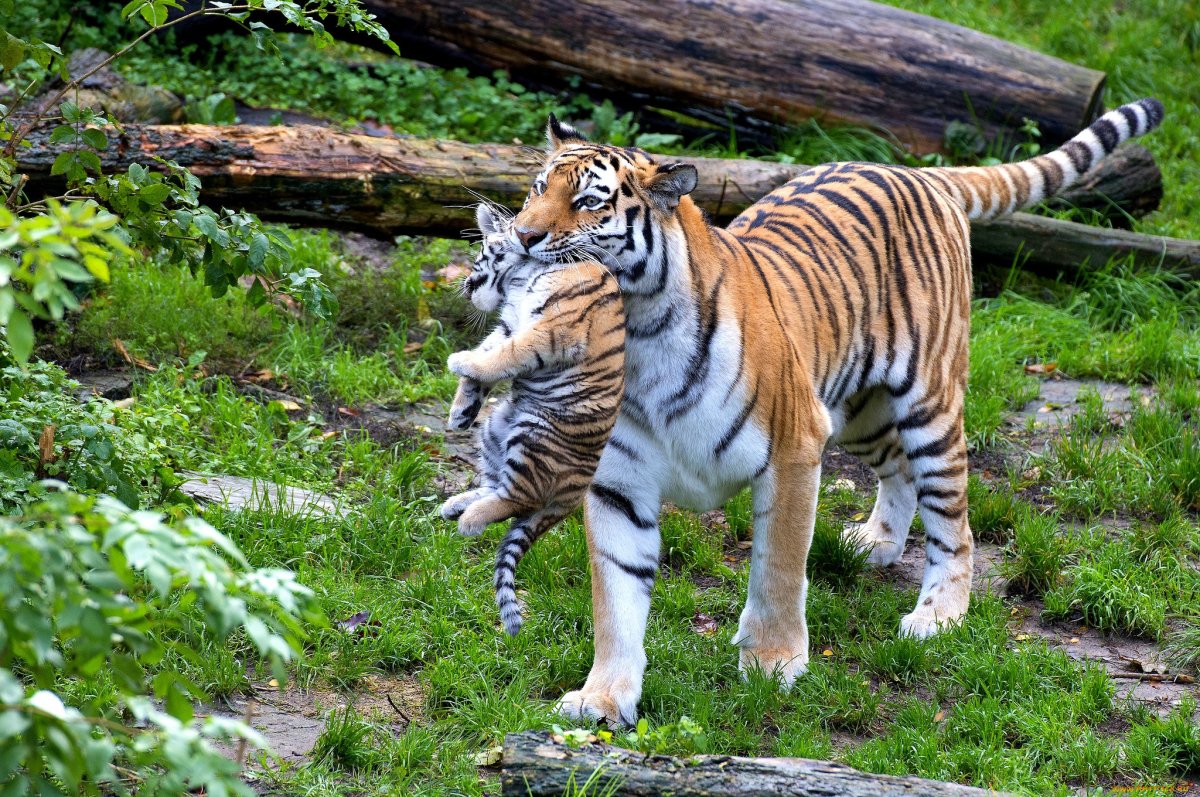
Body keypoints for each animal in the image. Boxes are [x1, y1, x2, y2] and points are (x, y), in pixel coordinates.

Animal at [440, 202, 626, 636]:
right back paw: (456, 504)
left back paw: (469, 520)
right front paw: (460, 411)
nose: (467, 287)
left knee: (519, 497)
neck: (526, 271)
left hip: (534, 435)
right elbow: (489, 354)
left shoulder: (552, 330)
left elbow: (500, 356)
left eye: (481, 254)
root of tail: (577, 492)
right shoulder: (509, 324)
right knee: (498, 486)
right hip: (497, 425)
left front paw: (459, 361)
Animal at [503, 99, 1165, 726]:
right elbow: (615, 598)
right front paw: (603, 697)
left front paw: (773, 664)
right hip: (857, 412)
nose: (521, 236)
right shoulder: (618, 482)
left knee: (955, 521)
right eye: (536, 189)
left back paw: (938, 616)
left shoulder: (792, 452)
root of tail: (920, 172)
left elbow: (777, 569)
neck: (639, 333)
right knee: (898, 470)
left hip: (930, 404)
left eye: (589, 202)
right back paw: (875, 541)